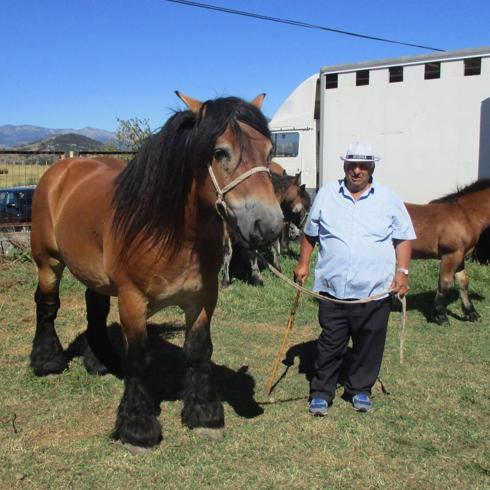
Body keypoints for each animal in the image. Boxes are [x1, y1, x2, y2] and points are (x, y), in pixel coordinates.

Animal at [406, 180, 490, 326]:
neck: (465, 214)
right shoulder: (451, 255)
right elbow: (445, 283)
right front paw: (440, 315)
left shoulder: (460, 255)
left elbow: (463, 282)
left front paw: (472, 313)